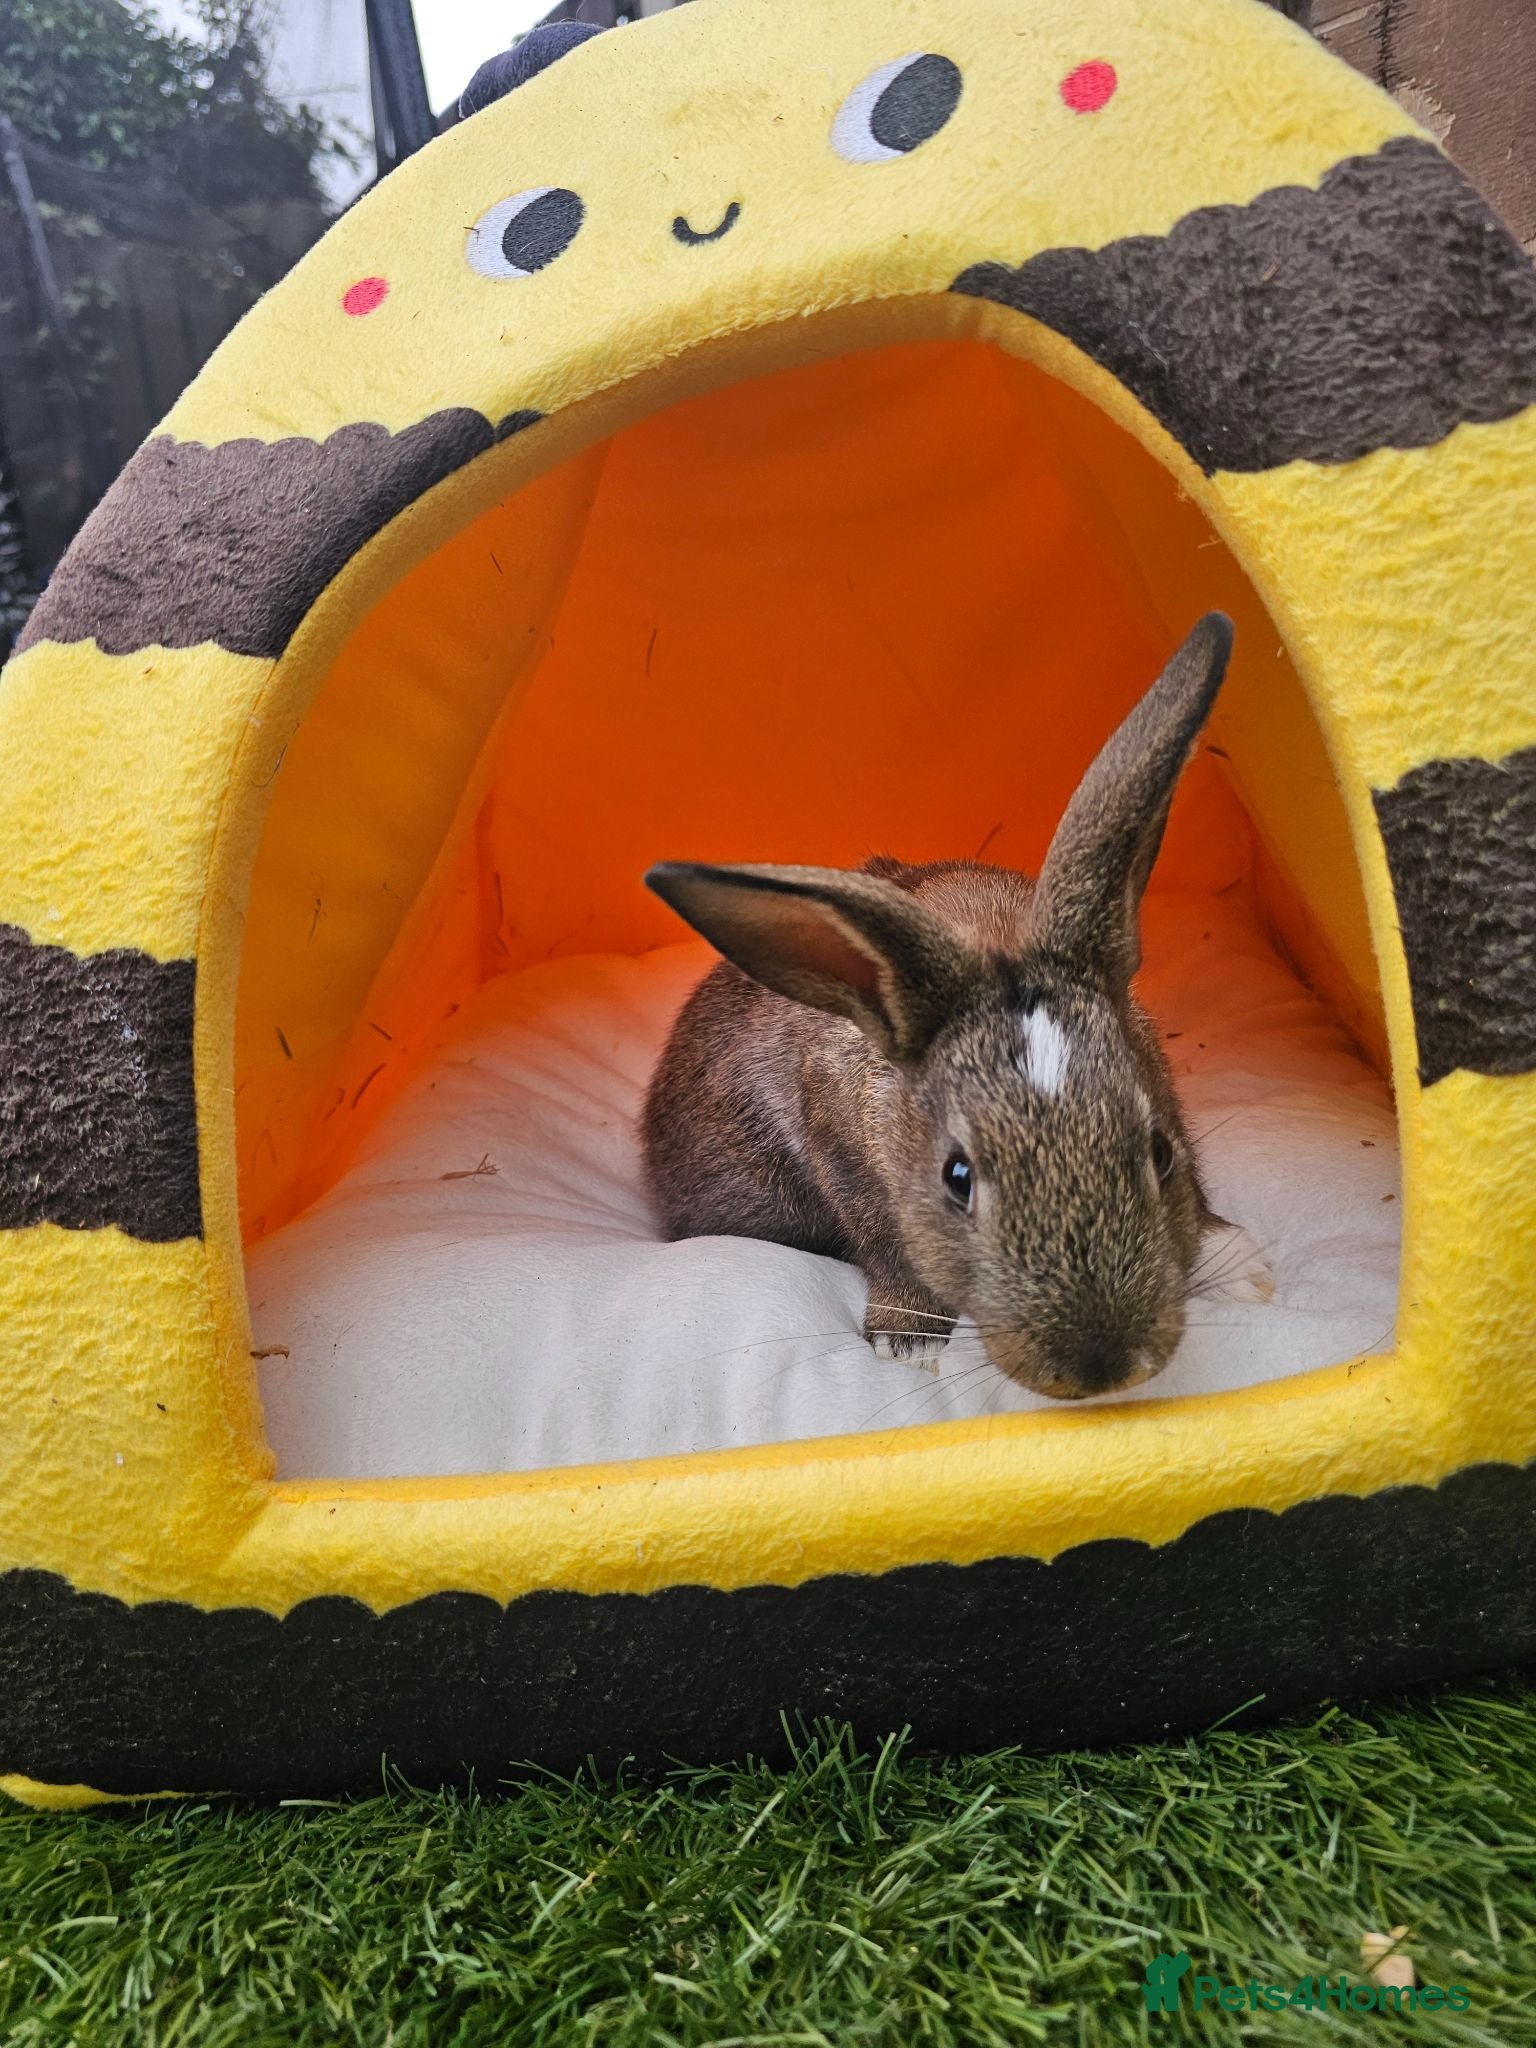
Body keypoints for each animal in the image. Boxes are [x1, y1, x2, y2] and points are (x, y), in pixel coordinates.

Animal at [640, 613, 1272, 1402]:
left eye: (1159, 1151)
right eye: (957, 1180)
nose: (1100, 1367)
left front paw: (1240, 1263)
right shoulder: (842, 1154)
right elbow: (890, 1244)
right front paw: (908, 1342)